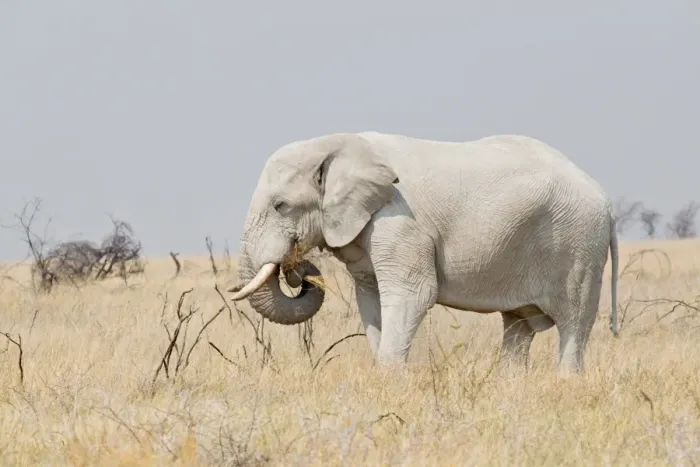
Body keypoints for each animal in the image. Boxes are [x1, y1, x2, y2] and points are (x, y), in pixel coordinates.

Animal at [228, 131, 619, 373]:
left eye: (281, 205)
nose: (297, 271)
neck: (338, 144)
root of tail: (605, 199)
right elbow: (370, 299)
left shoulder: (399, 221)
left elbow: (413, 294)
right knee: (518, 326)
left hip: (579, 247)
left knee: (573, 325)